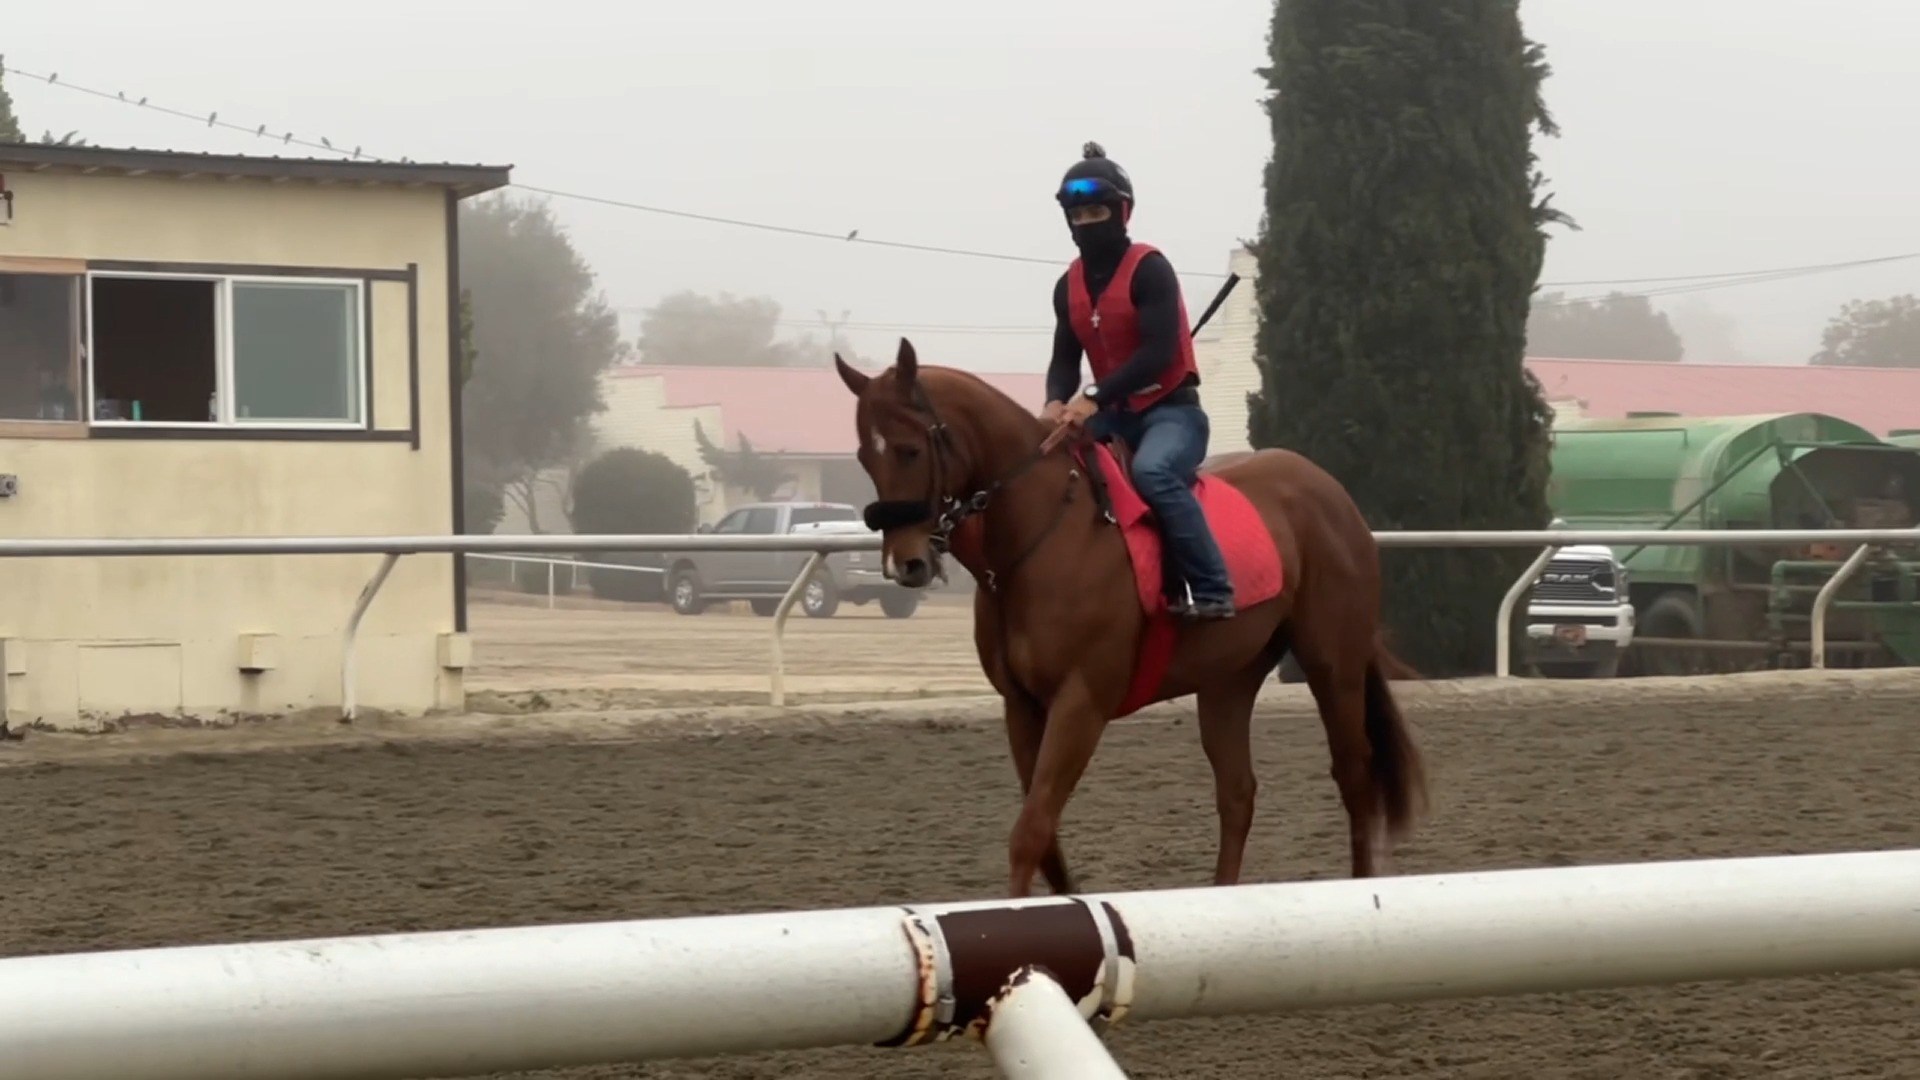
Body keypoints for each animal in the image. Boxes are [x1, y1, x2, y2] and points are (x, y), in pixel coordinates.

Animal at [835, 338, 1427, 898]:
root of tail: (1330, 490)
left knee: (1353, 776)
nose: (905, 564)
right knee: (1238, 792)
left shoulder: (1081, 702)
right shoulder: (1021, 707)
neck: (1042, 537)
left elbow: (1030, 831)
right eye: (864, 457)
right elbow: (1045, 837)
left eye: (909, 450)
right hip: (1228, 681)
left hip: (1332, 665)